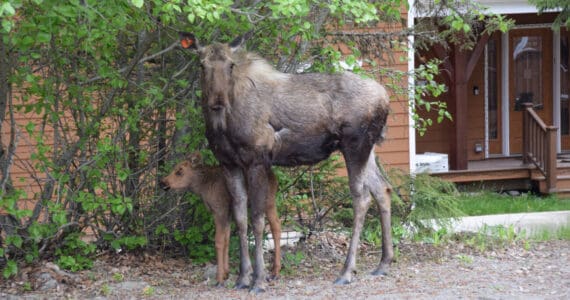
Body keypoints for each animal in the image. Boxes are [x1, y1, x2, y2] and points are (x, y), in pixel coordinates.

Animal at [160, 152, 280, 286]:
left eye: (179, 171)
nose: (162, 182)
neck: (202, 187)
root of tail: (274, 177)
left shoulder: (220, 211)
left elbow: (218, 241)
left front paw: (219, 278)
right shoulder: (227, 213)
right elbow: (226, 240)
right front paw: (226, 273)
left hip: (268, 202)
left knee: (276, 226)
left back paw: (275, 271)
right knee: (277, 224)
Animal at [180, 31, 392, 292]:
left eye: (230, 65)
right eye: (202, 65)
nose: (217, 101)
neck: (222, 124)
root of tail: (386, 98)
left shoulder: (257, 160)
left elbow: (257, 219)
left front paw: (259, 279)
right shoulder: (229, 164)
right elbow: (240, 219)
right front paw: (242, 277)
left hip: (355, 145)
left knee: (361, 197)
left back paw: (347, 271)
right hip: (368, 149)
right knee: (382, 189)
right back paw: (383, 263)